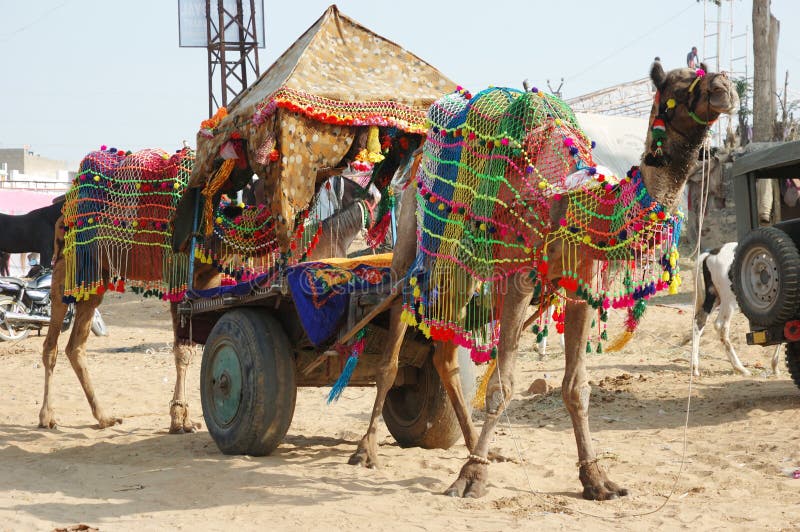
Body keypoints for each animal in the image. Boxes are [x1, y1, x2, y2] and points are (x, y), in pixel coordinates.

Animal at [38, 146, 380, 432]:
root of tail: (63, 209)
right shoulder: (179, 278)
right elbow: (183, 351)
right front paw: (180, 420)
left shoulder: (209, 281)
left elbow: (190, 347)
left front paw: (183, 418)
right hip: (68, 268)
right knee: (52, 343)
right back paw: (48, 417)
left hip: (95, 278)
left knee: (75, 346)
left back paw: (104, 416)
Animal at [347, 61, 738, 500]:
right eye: (678, 84)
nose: (725, 87)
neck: (575, 202)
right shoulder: (519, 278)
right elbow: (502, 385)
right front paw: (472, 477)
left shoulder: (583, 287)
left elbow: (577, 388)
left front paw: (596, 478)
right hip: (413, 239)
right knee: (394, 339)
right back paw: (367, 449)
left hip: (463, 264)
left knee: (444, 353)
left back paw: (475, 445)